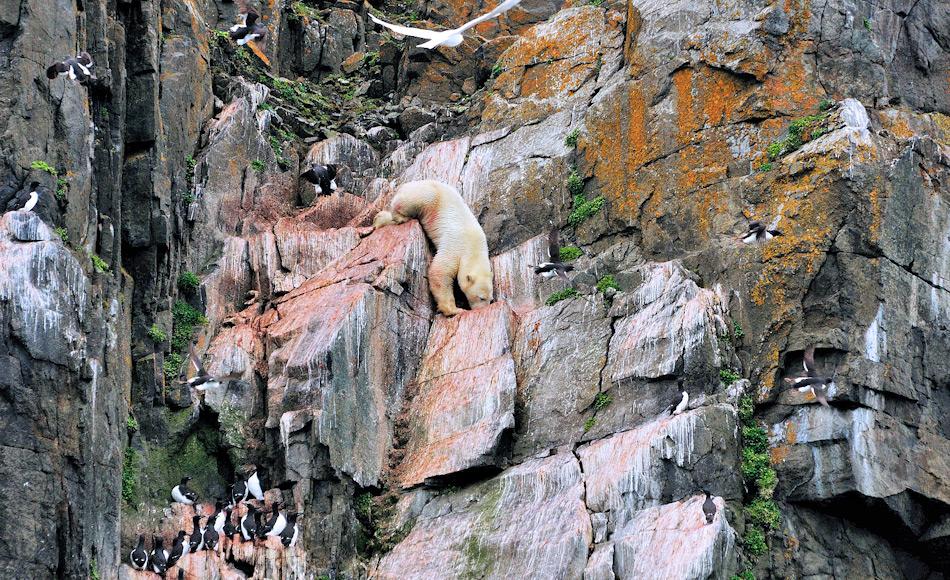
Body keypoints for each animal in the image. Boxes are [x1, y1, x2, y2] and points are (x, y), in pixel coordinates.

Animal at [374, 181, 494, 318]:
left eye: (490, 299)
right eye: (481, 297)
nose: (482, 309)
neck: (474, 248)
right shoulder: (456, 244)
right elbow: (440, 271)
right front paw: (455, 309)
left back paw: (378, 220)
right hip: (428, 198)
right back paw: (399, 217)